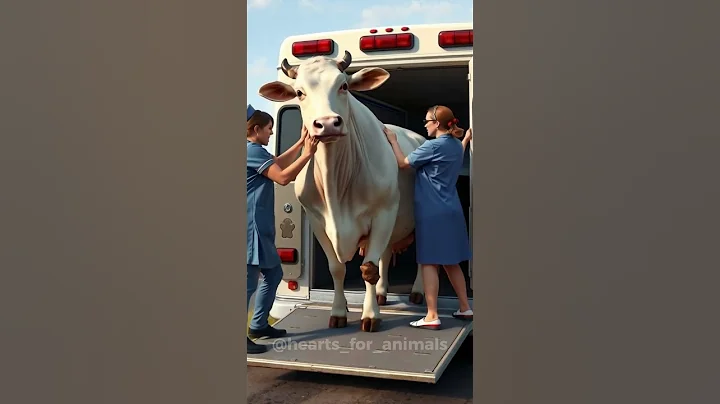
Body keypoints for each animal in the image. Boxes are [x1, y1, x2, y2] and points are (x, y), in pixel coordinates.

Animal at [259, 51, 426, 332]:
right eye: (299, 92)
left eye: (344, 86)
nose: (327, 124)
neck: (335, 186)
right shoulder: (317, 220)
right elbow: (337, 268)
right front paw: (339, 312)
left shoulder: (383, 212)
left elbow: (368, 268)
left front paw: (370, 316)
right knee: (387, 252)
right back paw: (382, 292)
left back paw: (417, 291)